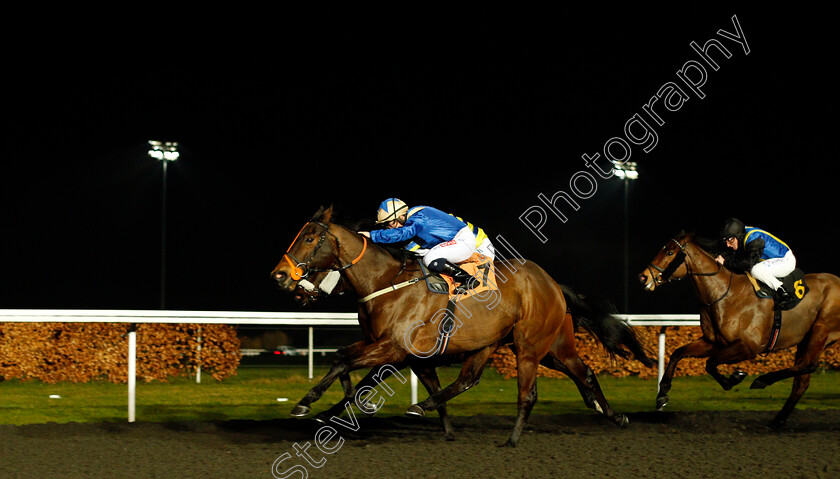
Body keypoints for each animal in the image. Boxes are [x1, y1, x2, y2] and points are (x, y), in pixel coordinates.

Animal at [272, 205, 652, 446]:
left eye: (309, 238)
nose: (281, 277)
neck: (386, 283)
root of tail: (552, 284)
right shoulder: (393, 349)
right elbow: (346, 361)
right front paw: (334, 407)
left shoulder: (392, 347)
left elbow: (344, 362)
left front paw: (307, 403)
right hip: (540, 347)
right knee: (577, 373)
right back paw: (614, 415)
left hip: (531, 346)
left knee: (529, 393)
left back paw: (513, 438)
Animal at [640, 232, 836, 428]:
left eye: (670, 252)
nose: (643, 277)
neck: (725, 294)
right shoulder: (713, 342)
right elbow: (678, 353)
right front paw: (662, 393)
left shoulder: (749, 347)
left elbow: (711, 362)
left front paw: (735, 378)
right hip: (806, 339)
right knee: (802, 381)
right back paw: (777, 420)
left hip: (820, 330)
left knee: (808, 365)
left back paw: (762, 381)